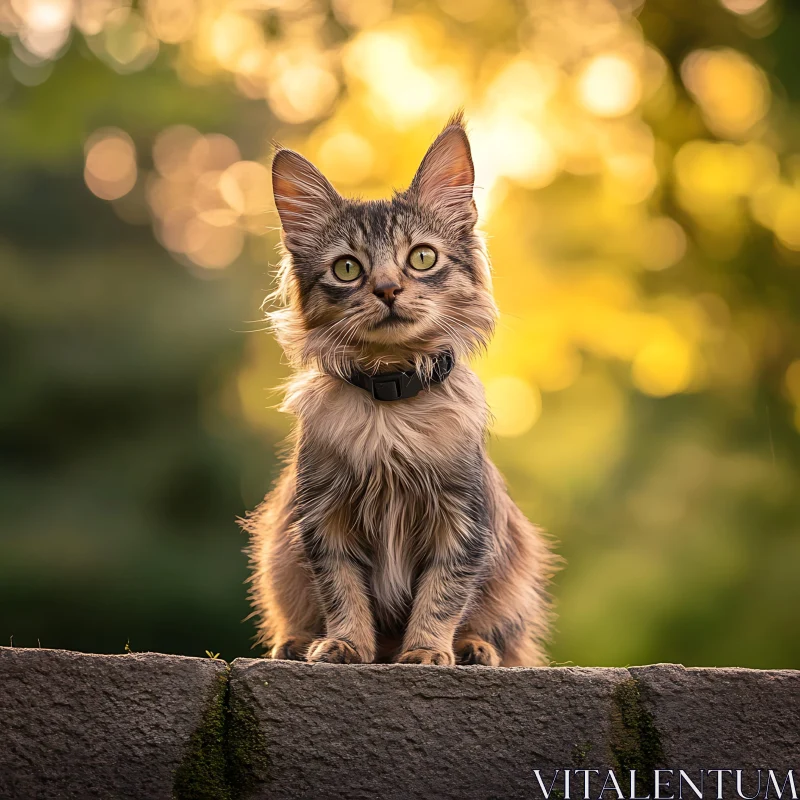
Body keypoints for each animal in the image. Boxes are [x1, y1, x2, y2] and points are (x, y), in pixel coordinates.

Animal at [244, 111, 556, 664]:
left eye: (422, 258)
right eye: (347, 268)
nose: (388, 290)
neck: (391, 405)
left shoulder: (462, 519)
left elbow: (442, 595)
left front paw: (428, 652)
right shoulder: (323, 519)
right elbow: (342, 592)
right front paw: (345, 644)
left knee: (499, 632)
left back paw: (475, 649)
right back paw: (298, 643)